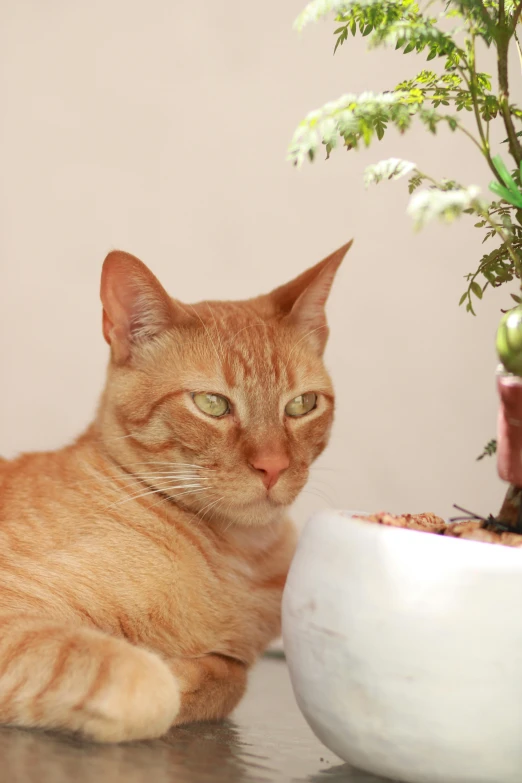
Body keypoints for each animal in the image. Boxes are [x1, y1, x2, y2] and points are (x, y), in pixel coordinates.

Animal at [0, 242, 352, 744]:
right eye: (212, 404)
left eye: (302, 405)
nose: (273, 466)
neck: (239, 558)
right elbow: (143, 680)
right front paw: (163, 671)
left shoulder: (237, 658)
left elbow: (229, 678)